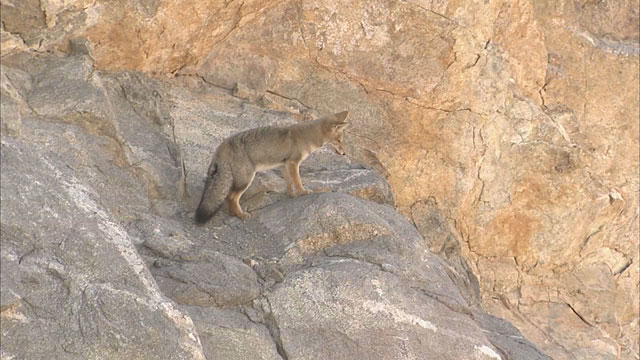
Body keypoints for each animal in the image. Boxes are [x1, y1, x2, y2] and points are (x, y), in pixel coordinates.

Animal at [194, 109, 348, 224]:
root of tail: (222, 146)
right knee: (231, 197)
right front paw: (303, 192)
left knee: (228, 198)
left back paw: (234, 213)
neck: (306, 136)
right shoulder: (293, 162)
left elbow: (289, 182)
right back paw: (241, 215)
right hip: (246, 179)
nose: (344, 153)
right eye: (339, 141)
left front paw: (292, 195)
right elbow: (297, 181)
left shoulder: (284, 164)